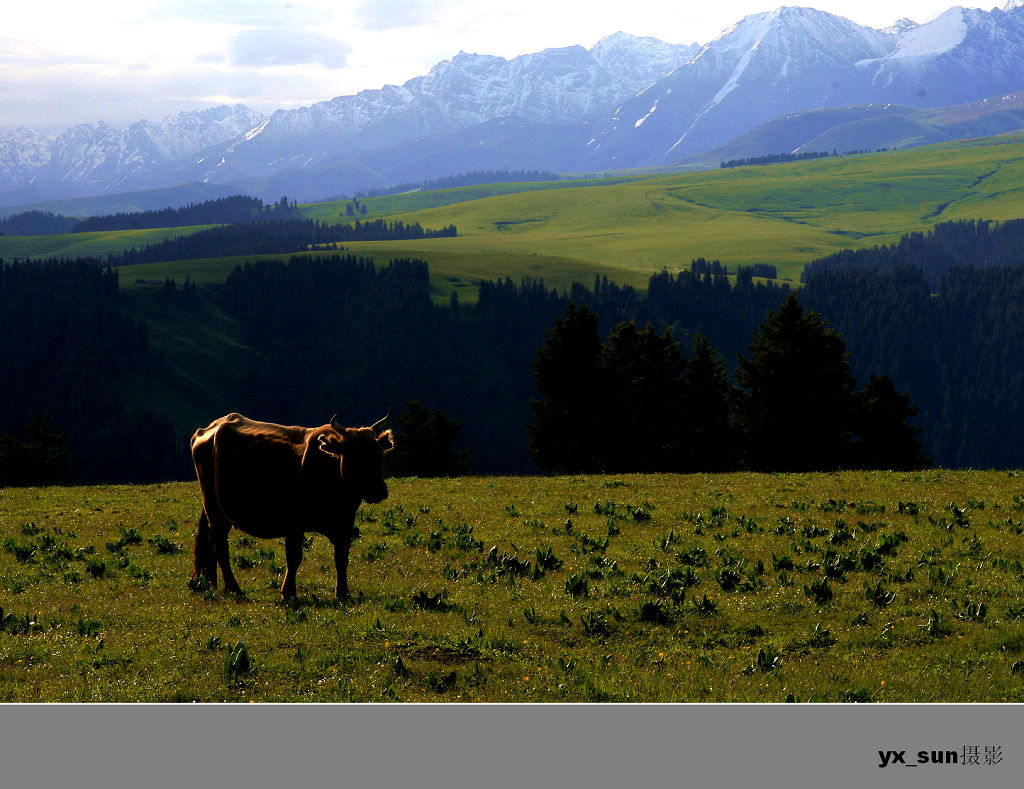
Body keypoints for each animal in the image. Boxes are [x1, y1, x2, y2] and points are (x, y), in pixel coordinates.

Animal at [190, 411, 393, 601]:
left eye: (379, 454)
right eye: (353, 456)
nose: (378, 490)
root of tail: (212, 427)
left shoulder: (345, 524)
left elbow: (341, 558)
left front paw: (343, 592)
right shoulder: (294, 523)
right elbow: (294, 557)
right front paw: (289, 592)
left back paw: (213, 583)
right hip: (214, 509)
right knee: (220, 547)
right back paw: (235, 589)